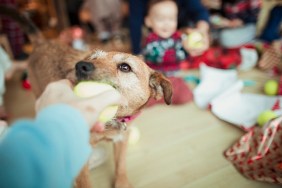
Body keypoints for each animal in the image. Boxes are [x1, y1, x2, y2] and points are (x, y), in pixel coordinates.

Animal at [0, 5, 173, 188]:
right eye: (94, 58)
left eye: (125, 67)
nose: (81, 66)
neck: (111, 121)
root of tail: (42, 42)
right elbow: (85, 182)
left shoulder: (121, 140)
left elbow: (121, 166)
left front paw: (122, 182)